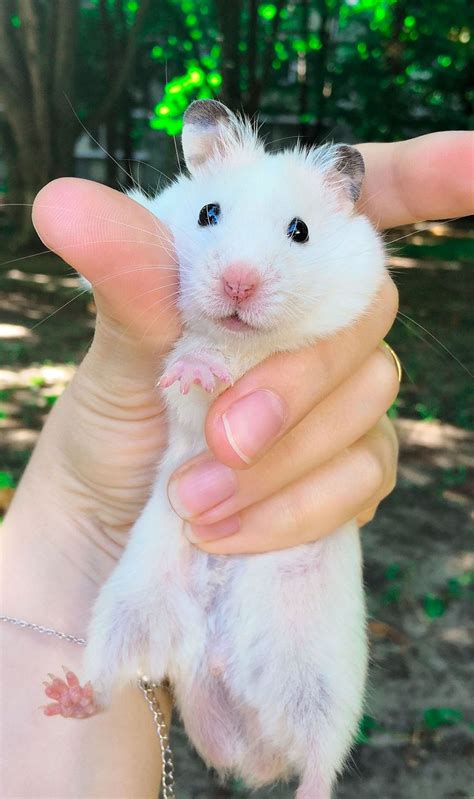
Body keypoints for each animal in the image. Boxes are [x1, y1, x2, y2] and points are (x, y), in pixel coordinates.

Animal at [82, 100, 386, 799]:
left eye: (300, 230)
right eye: (207, 213)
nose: (238, 285)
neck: (241, 340)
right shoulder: (184, 410)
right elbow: (194, 377)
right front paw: (198, 366)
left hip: (327, 688)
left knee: (320, 761)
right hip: (128, 613)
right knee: (110, 682)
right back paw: (66, 695)